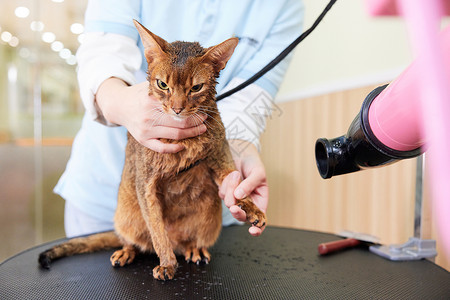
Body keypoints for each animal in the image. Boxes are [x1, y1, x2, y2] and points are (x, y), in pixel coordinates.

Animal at [38, 21, 268, 282]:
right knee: (135, 240)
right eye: (163, 85)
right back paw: (126, 252)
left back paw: (194, 249)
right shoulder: (146, 184)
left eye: (196, 88)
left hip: (209, 220)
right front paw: (167, 263)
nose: (177, 109)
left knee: (188, 242)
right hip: (126, 216)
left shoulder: (221, 161)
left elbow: (236, 186)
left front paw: (252, 208)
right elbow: (158, 231)